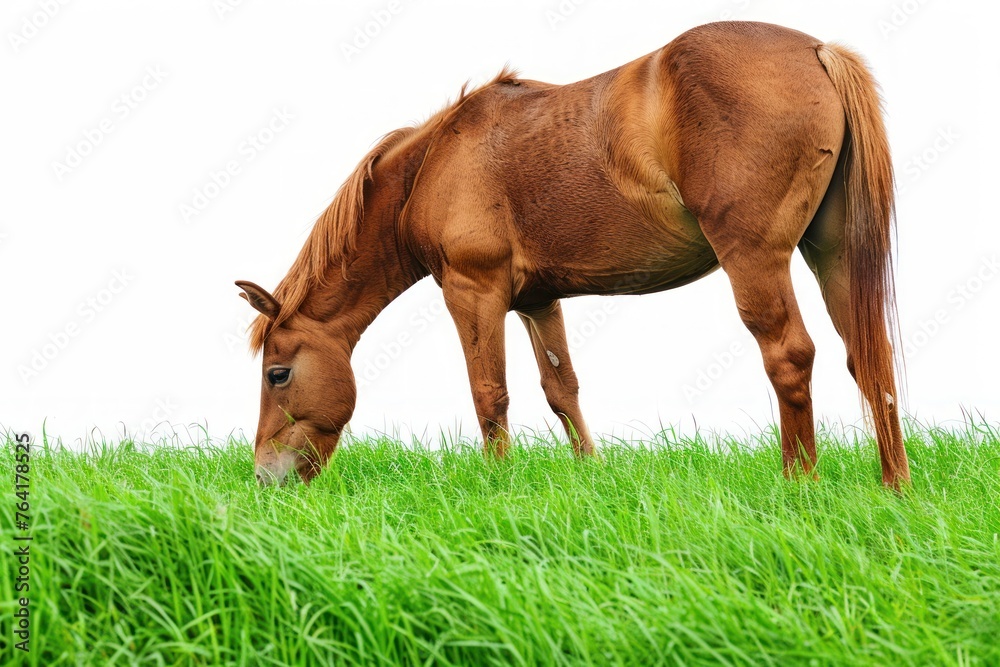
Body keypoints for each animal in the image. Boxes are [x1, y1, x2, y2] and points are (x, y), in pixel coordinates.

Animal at [237, 21, 911, 489]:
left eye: (278, 374)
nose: (264, 478)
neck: (433, 163)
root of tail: (817, 50)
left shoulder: (471, 290)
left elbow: (490, 393)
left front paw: (498, 486)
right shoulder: (538, 301)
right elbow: (562, 389)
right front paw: (591, 473)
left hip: (756, 260)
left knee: (790, 357)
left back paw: (799, 485)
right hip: (834, 255)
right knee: (868, 356)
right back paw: (893, 486)